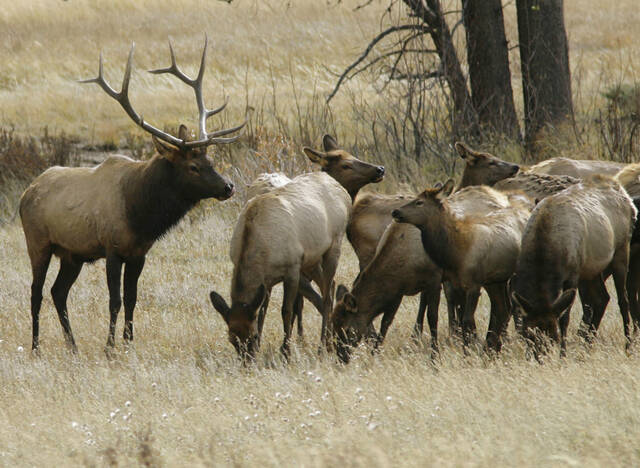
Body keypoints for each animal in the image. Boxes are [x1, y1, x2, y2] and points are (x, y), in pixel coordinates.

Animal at [20, 38, 245, 353]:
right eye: (193, 166)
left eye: (210, 160)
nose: (228, 187)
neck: (140, 215)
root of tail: (26, 193)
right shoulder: (112, 248)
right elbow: (114, 300)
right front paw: (110, 347)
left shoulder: (139, 253)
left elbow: (131, 299)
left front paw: (128, 343)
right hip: (38, 242)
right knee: (36, 292)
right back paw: (36, 347)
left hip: (72, 254)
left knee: (58, 291)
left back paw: (73, 346)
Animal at [511, 176, 636, 357]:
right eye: (529, 334)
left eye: (553, 336)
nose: (540, 357)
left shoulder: (572, 274)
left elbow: (565, 318)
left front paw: (563, 355)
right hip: (591, 268)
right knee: (602, 298)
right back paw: (587, 345)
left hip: (621, 250)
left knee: (623, 300)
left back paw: (628, 345)